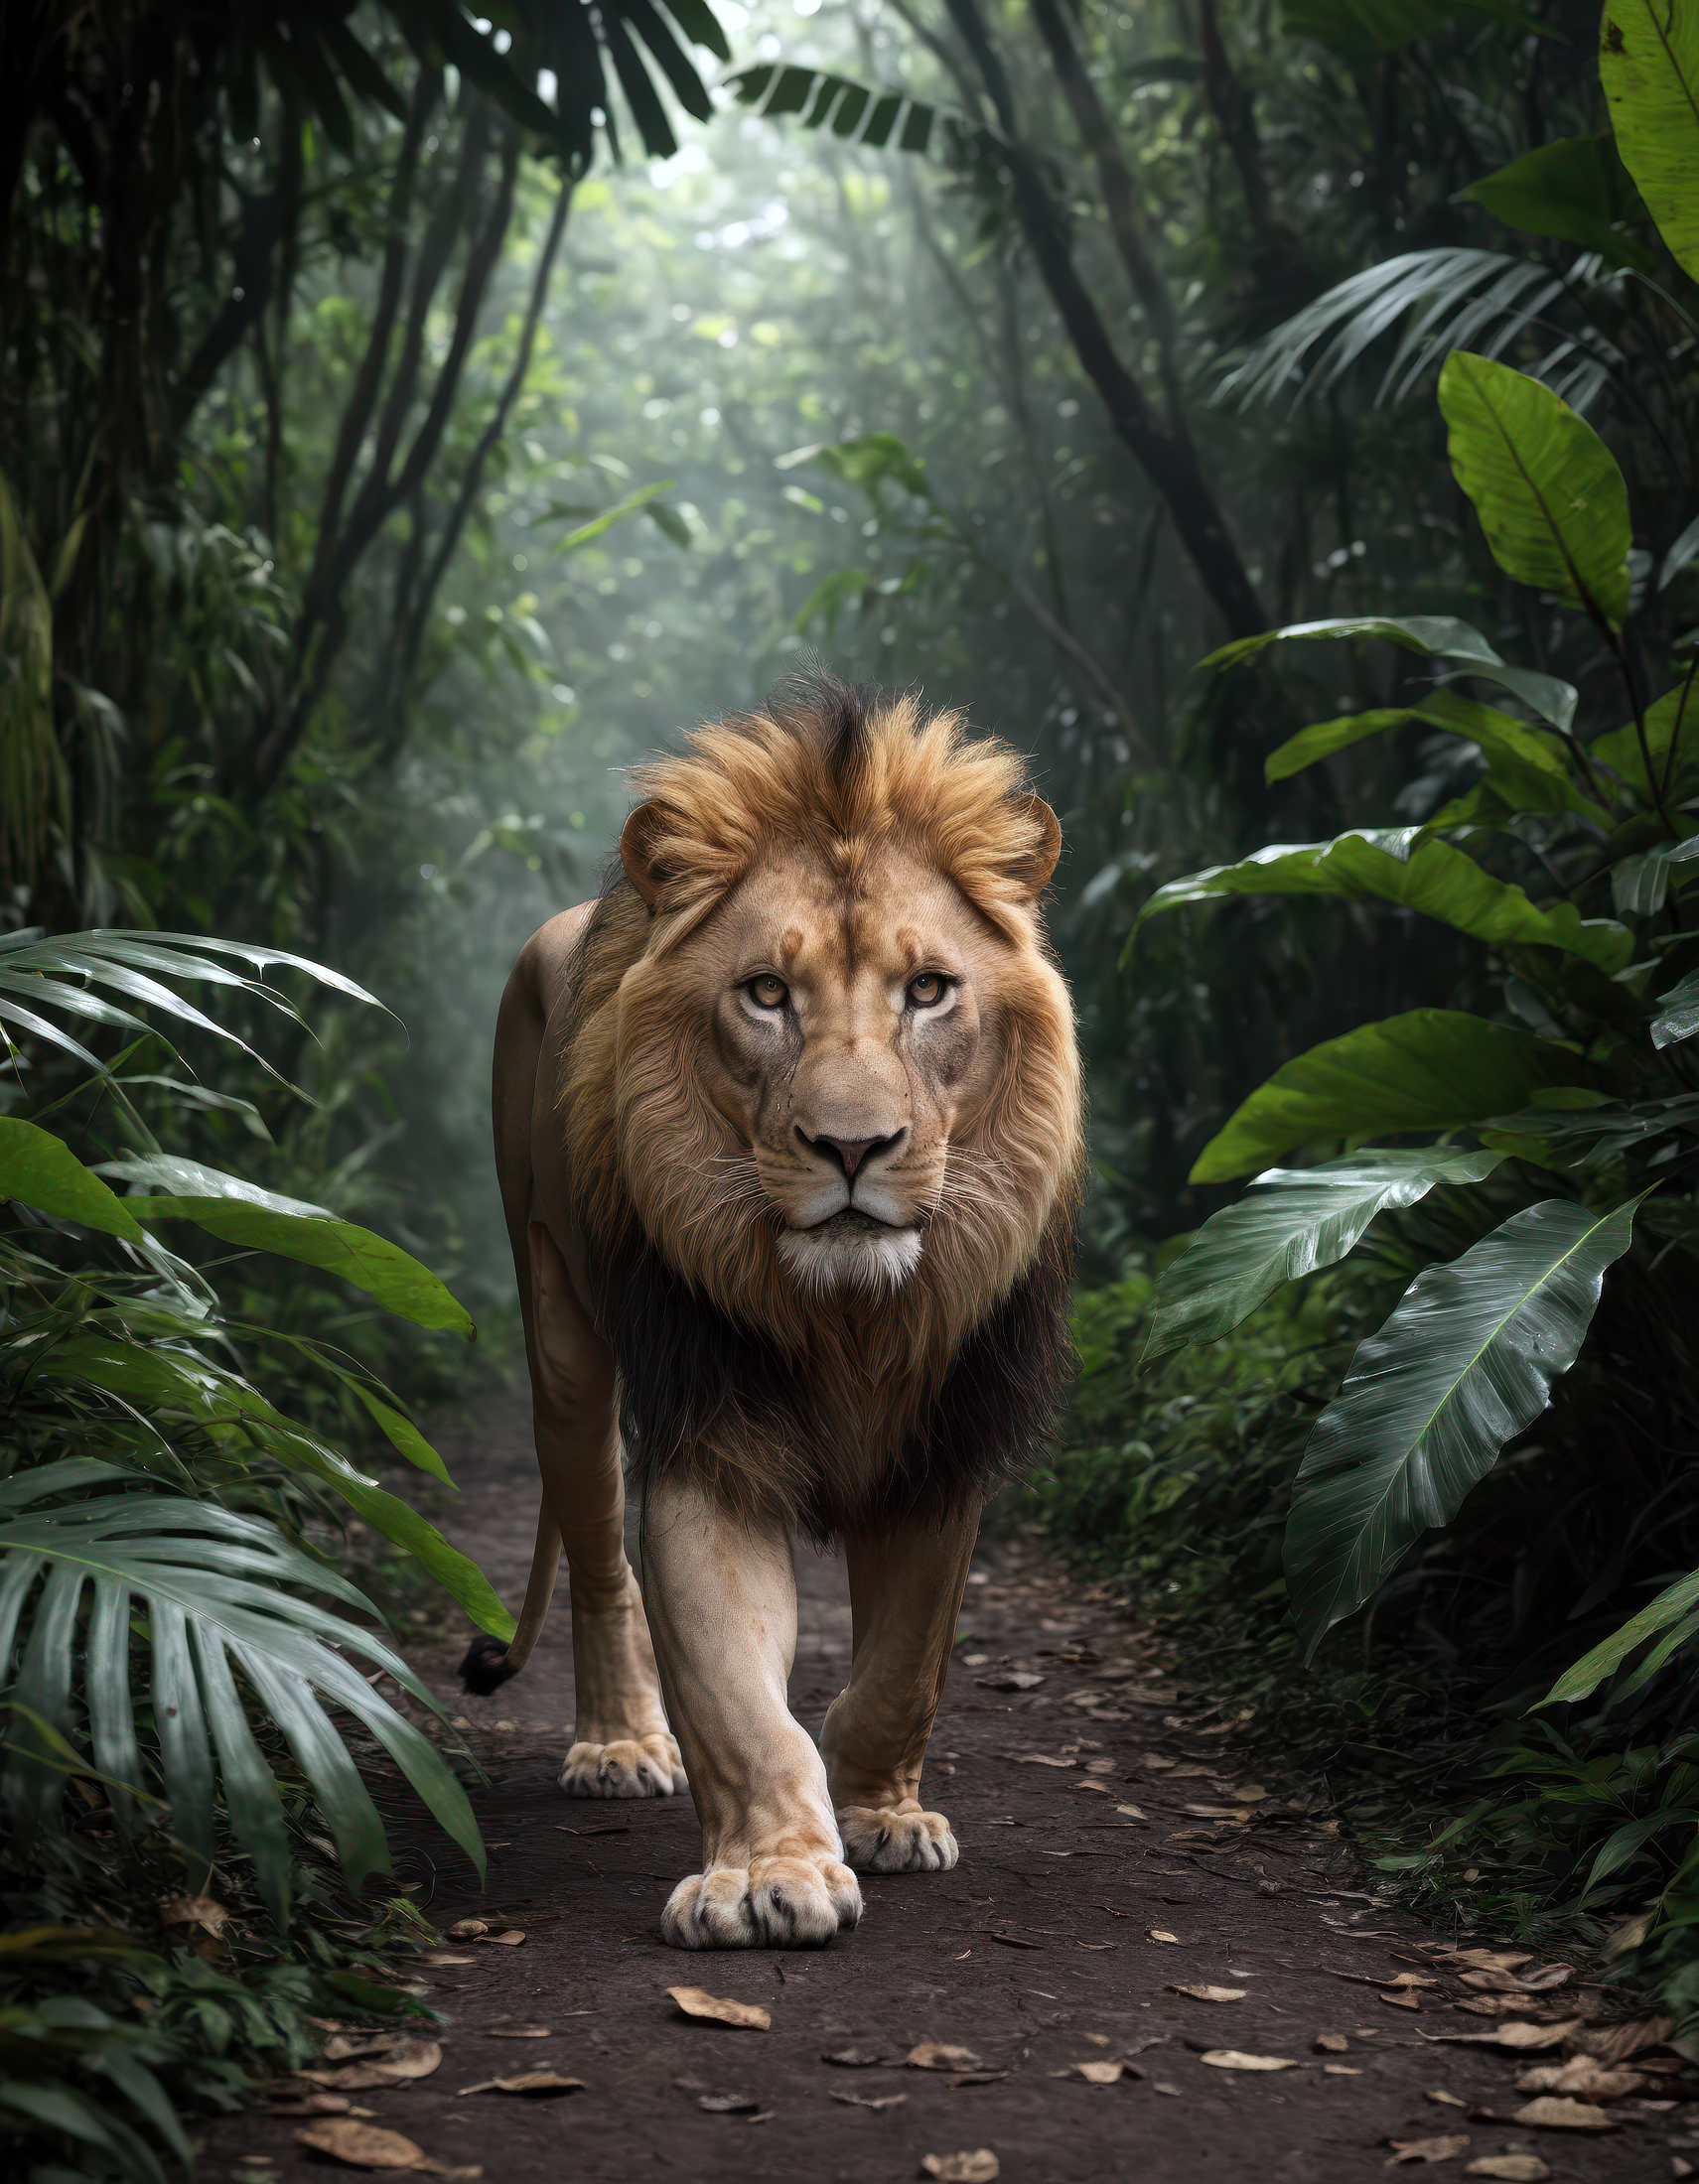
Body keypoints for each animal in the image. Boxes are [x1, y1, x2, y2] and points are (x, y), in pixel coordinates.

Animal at [469, 669, 1083, 1949]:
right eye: (765, 994)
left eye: (928, 990)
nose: (852, 1147)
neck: (850, 1318)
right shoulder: (713, 1434)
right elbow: (736, 1695)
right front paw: (763, 1870)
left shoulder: (942, 1442)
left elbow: (905, 1667)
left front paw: (878, 1809)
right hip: (560, 1332)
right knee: (598, 1555)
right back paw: (620, 1745)